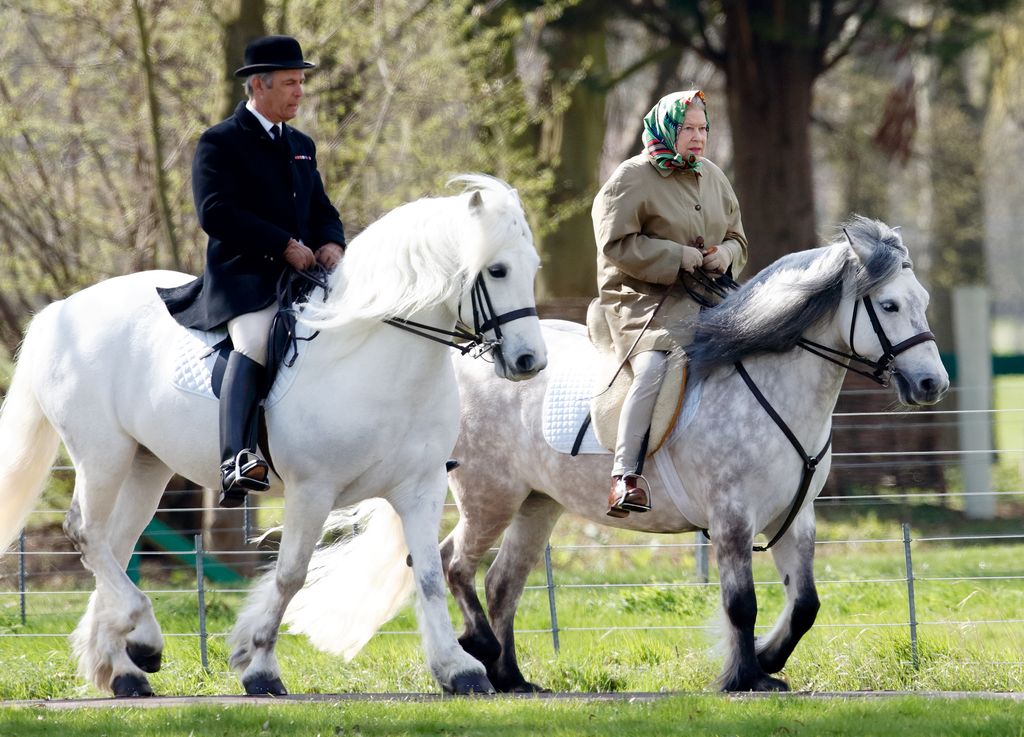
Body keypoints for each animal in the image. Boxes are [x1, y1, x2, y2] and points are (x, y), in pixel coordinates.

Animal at [0, 174, 544, 696]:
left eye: (532, 268)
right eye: (497, 271)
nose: (529, 362)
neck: (376, 357)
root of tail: (59, 311)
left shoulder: (421, 487)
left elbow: (427, 574)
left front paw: (458, 669)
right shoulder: (312, 489)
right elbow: (290, 576)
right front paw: (258, 666)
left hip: (145, 463)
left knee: (114, 544)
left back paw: (122, 668)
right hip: (102, 453)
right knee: (87, 533)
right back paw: (144, 638)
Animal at [282, 215, 950, 691]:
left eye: (921, 301)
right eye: (889, 305)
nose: (930, 385)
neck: (770, 383)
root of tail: (474, 361)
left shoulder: (795, 517)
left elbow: (805, 604)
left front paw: (765, 659)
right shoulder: (733, 517)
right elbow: (741, 602)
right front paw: (745, 676)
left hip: (538, 505)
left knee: (502, 583)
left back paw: (513, 678)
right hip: (489, 497)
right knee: (453, 565)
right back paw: (482, 653)